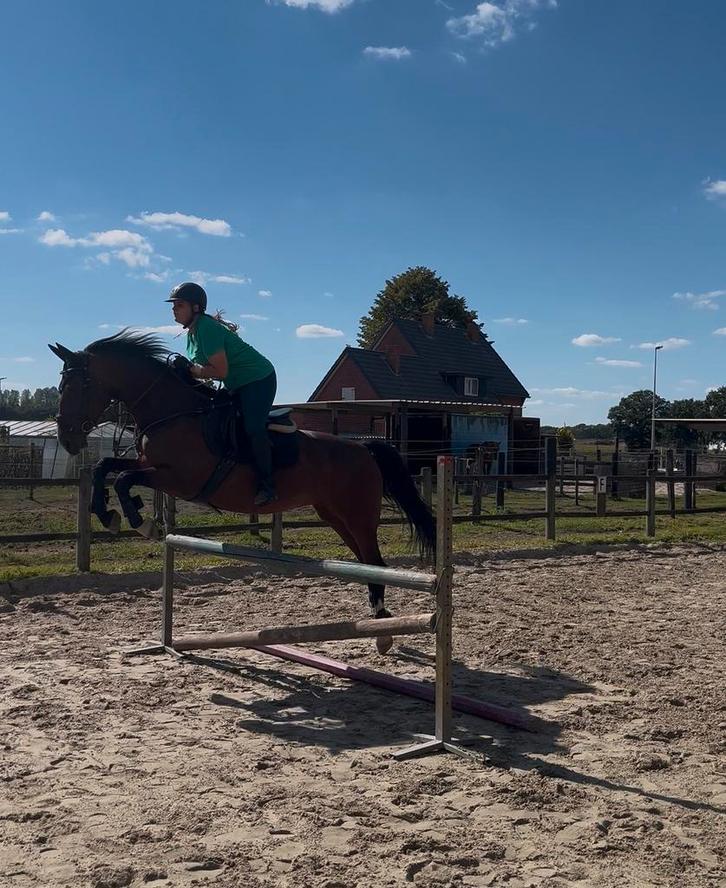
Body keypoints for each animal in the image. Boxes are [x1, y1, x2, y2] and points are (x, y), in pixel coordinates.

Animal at [49, 330, 435, 652]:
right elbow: (105, 468)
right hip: (336, 517)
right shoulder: (149, 467)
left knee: (376, 563)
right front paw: (108, 515)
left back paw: (383, 631)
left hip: (357, 516)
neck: (172, 413)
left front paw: (139, 521)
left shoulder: (179, 480)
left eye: (76, 386)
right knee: (368, 564)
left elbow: (124, 480)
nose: (67, 440)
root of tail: (364, 448)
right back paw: (380, 622)